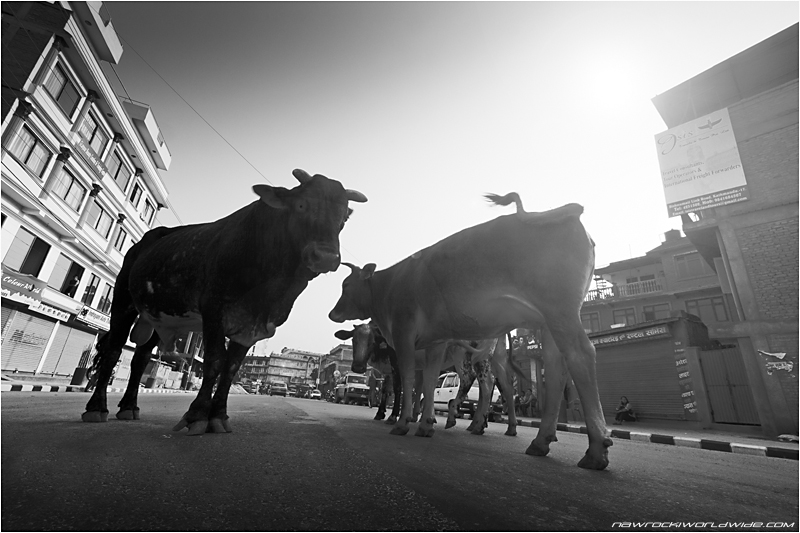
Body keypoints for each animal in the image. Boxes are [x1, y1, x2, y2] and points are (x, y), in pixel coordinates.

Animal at [79, 168, 368, 434]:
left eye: (343, 216)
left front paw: (218, 415)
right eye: (301, 205)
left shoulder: (253, 325)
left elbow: (230, 369)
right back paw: (96, 408)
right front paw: (197, 415)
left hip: (161, 317)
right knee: (114, 349)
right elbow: (215, 362)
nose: (327, 256)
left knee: (140, 357)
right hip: (124, 299)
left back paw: (129, 406)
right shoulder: (214, 310)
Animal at [326, 193, 612, 468]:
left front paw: (402, 421)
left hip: (560, 312)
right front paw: (425, 423)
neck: (388, 288)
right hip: (548, 323)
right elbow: (428, 381)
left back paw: (595, 449)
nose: (332, 313)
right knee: (554, 370)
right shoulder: (435, 341)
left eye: (346, 285)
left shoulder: (404, 335)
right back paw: (540, 440)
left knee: (580, 355)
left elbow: (407, 382)